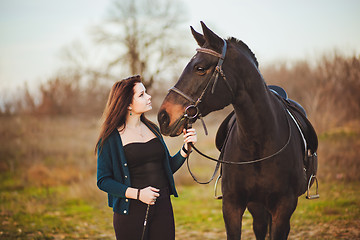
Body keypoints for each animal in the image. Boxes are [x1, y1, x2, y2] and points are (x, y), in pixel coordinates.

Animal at [158, 21, 318, 239]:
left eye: (200, 68)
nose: (163, 117)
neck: (259, 141)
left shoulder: (284, 207)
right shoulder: (232, 205)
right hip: (256, 205)